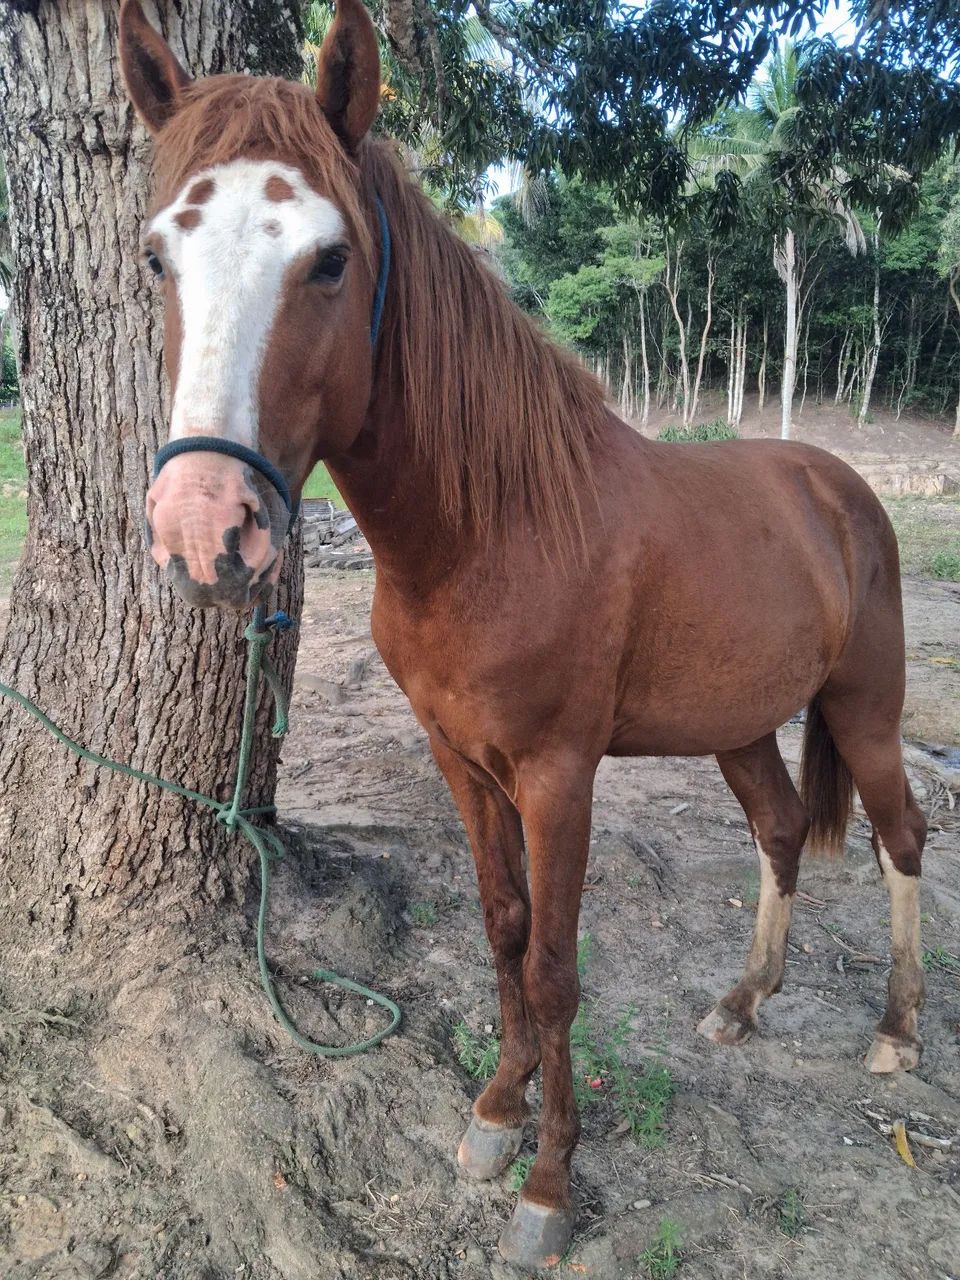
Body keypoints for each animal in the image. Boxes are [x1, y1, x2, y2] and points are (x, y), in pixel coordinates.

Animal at [119, 0, 927, 1267]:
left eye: (330, 258)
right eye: (160, 255)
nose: (206, 533)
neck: (494, 527)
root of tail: (836, 484)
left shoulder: (558, 775)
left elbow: (552, 968)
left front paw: (547, 1186)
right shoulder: (463, 760)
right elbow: (504, 934)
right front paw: (494, 1118)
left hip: (865, 709)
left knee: (903, 837)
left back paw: (895, 1028)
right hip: (742, 724)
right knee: (784, 828)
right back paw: (743, 1001)